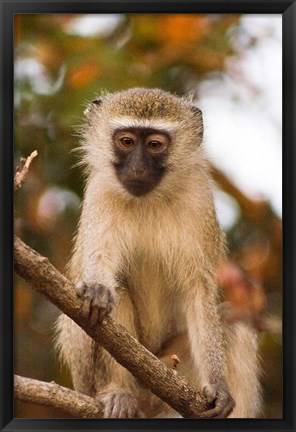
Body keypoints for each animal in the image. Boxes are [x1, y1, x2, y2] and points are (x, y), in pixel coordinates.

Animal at [55, 87, 260, 418]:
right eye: (126, 141)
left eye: (154, 145)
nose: (138, 168)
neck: (148, 199)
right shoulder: (100, 192)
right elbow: (98, 263)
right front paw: (97, 289)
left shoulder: (199, 198)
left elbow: (199, 291)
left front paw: (219, 386)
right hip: (92, 379)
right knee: (117, 292)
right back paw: (120, 394)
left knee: (233, 320)